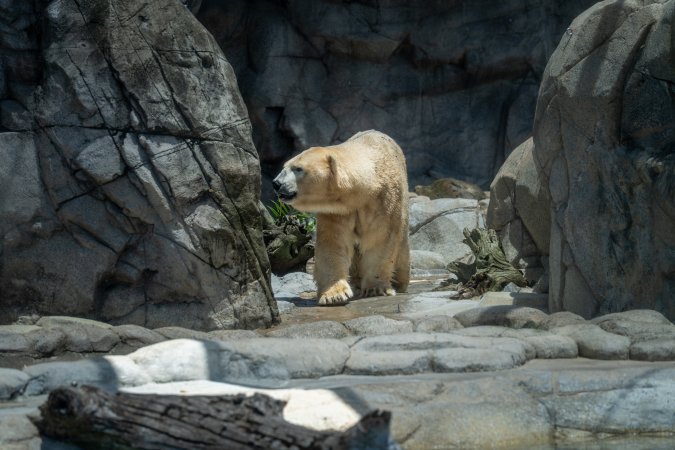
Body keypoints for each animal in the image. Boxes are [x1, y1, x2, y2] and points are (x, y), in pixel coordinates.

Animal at [273, 130, 410, 305]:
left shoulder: (384, 201)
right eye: (285, 166)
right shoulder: (337, 210)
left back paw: (398, 282)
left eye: (298, 168)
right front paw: (334, 295)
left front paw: (376, 288)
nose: (276, 183)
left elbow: (380, 238)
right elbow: (333, 243)